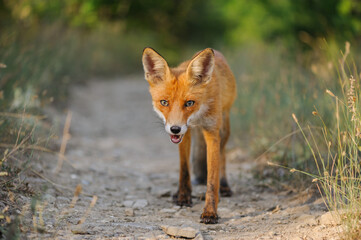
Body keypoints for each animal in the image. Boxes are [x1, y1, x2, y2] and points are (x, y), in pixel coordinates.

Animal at [141, 47, 236, 224]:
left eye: (189, 103)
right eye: (164, 102)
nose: (175, 129)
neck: (198, 116)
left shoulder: (212, 132)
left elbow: (212, 179)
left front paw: (210, 211)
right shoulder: (185, 135)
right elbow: (184, 170)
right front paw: (183, 197)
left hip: (225, 127)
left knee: (223, 156)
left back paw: (225, 185)